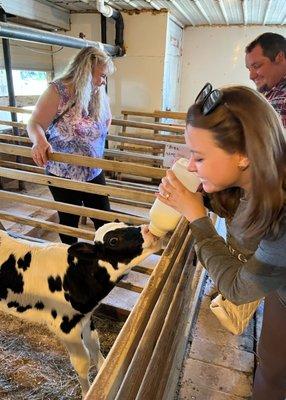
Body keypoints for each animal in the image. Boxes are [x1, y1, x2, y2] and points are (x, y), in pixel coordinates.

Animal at [0, 222, 161, 396]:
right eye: (113, 240)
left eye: (127, 224)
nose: (148, 229)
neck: (75, 273)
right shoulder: (65, 328)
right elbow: (82, 363)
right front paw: (87, 392)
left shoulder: (86, 317)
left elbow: (94, 344)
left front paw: (103, 373)